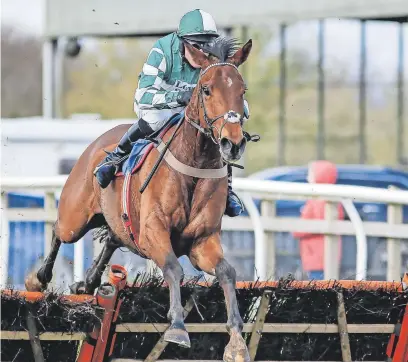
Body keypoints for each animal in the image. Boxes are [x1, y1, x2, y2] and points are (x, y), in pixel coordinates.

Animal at [23, 37, 253, 362]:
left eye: (242, 90)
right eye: (207, 88)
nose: (232, 143)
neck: (194, 164)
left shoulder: (202, 241)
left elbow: (227, 272)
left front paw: (236, 340)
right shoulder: (153, 232)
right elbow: (173, 268)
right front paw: (177, 327)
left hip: (120, 222)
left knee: (111, 239)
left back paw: (89, 281)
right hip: (75, 217)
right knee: (58, 231)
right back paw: (38, 278)